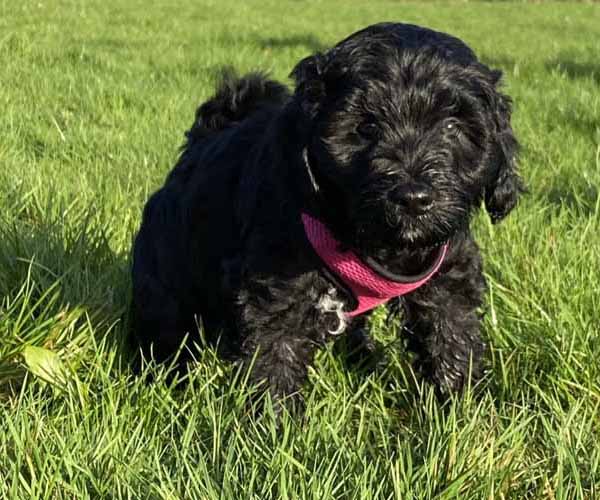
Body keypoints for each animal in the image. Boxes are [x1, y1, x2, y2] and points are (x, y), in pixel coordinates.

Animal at [131, 22, 523, 409]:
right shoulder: (274, 288)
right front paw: (272, 425)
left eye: (452, 127)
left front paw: (464, 407)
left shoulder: (446, 272)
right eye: (366, 127)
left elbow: (451, 335)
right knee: (165, 326)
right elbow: (274, 359)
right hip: (165, 275)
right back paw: (163, 379)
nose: (413, 199)